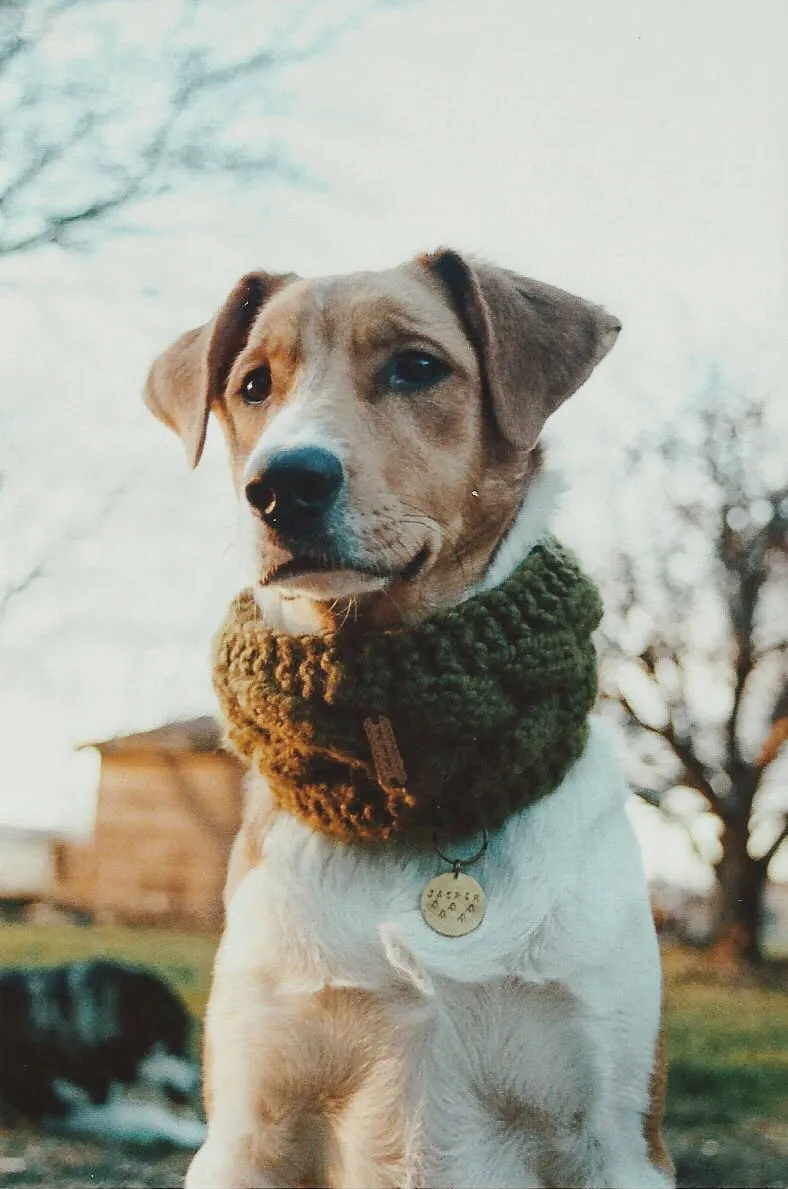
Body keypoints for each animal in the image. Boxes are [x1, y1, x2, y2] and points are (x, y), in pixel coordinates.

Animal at [145, 246, 675, 1184]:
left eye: (417, 367)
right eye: (253, 385)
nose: (280, 484)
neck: (408, 795)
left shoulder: (616, 1139)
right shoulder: (248, 1131)